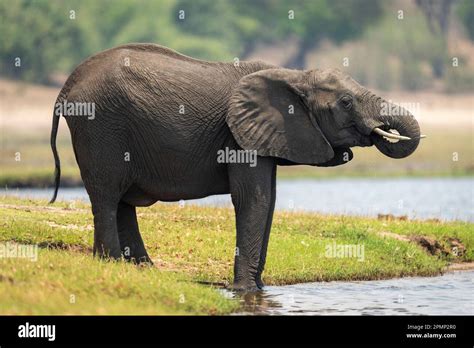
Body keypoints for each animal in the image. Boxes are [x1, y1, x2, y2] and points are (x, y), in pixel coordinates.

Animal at [51, 44, 422, 294]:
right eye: (345, 103)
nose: (382, 130)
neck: (293, 76)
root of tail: (67, 85)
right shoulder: (238, 136)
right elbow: (253, 200)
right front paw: (244, 291)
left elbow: (269, 201)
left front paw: (258, 289)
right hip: (100, 126)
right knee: (107, 196)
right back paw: (111, 264)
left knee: (123, 202)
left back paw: (144, 270)